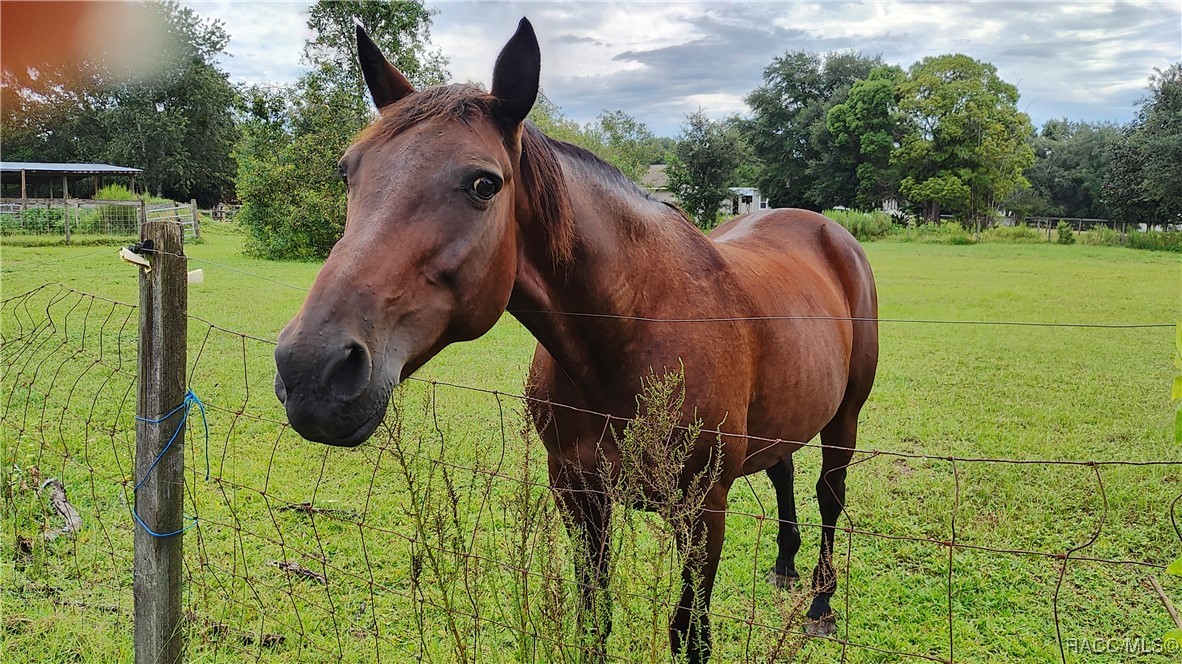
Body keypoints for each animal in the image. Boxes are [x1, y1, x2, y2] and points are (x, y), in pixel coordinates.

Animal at [271, 18, 874, 656]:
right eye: (348, 170)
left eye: (484, 184)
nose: (311, 370)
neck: (631, 338)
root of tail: (827, 228)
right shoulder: (580, 497)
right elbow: (593, 619)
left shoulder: (702, 510)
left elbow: (690, 633)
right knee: (783, 468)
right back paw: (784, 565)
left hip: (845, 420)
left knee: (829, 496)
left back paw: (821, 603)